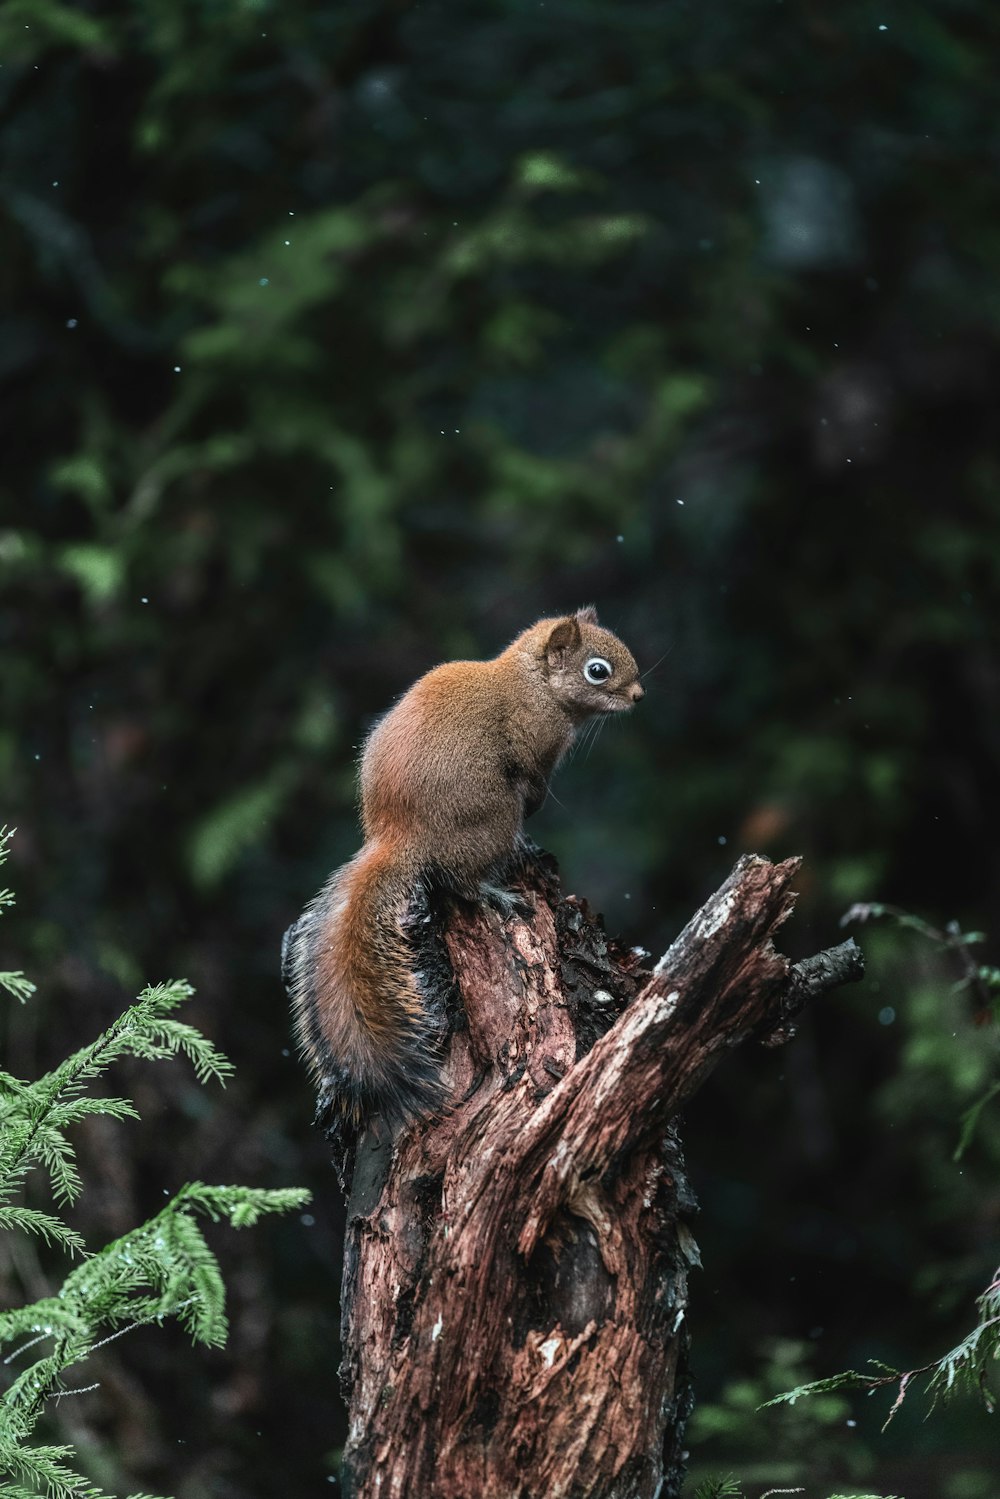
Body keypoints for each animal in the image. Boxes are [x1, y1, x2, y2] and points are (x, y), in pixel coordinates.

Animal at [283, 602, 641, 1127]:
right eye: (597, 670)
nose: (638, 695)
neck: (532, 683)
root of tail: (400, 838)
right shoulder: (535, 741)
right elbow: (534, 778)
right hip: (491, 816)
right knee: (461, 881)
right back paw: (498, 892)